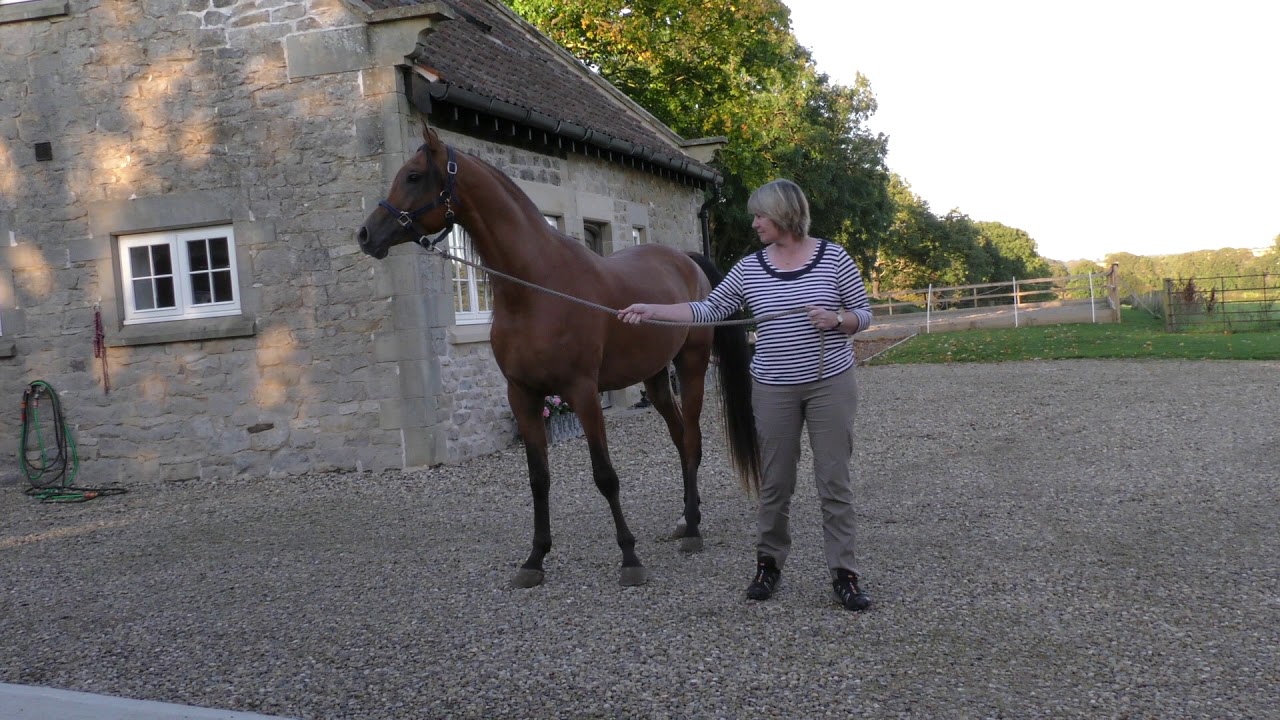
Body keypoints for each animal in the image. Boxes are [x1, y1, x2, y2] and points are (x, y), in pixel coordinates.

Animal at [357, 126, 761, 588]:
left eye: (413, 175)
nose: (366, 234)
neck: (536, 288)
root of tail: (687, 262)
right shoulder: (523, 396)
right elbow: (539, 479)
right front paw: (535, 559)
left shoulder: (582, 392)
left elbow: (605, 476)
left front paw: (629, 556)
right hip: (656, 377)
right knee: (679, 438)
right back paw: (683, 518)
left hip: (690, 367)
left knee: (692, 439)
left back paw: (693, 529)